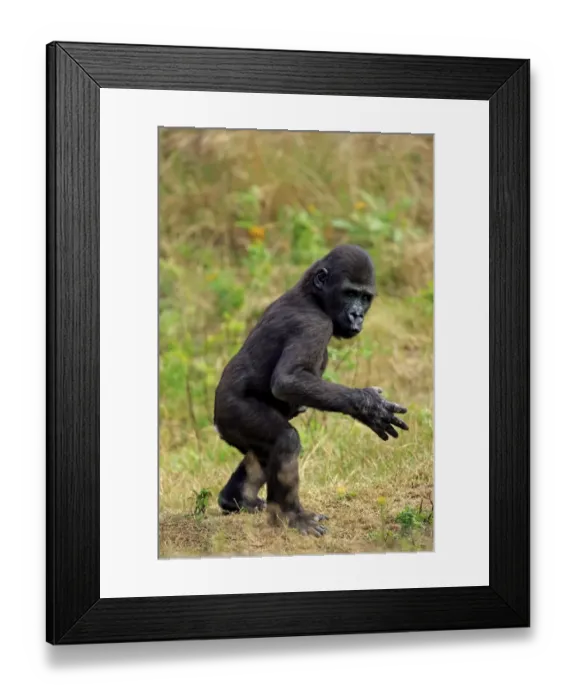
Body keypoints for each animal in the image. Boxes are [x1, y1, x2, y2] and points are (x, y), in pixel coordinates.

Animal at [213, 244, 408, 536]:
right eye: (349, 293)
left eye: (365, 298)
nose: (357, 314)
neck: (312, 296)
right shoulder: (314, 324)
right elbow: (288, 380)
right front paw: (369, 406)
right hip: (232, 414)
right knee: (285, 440)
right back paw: (291, 517)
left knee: (261, 452)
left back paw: (237, 498)